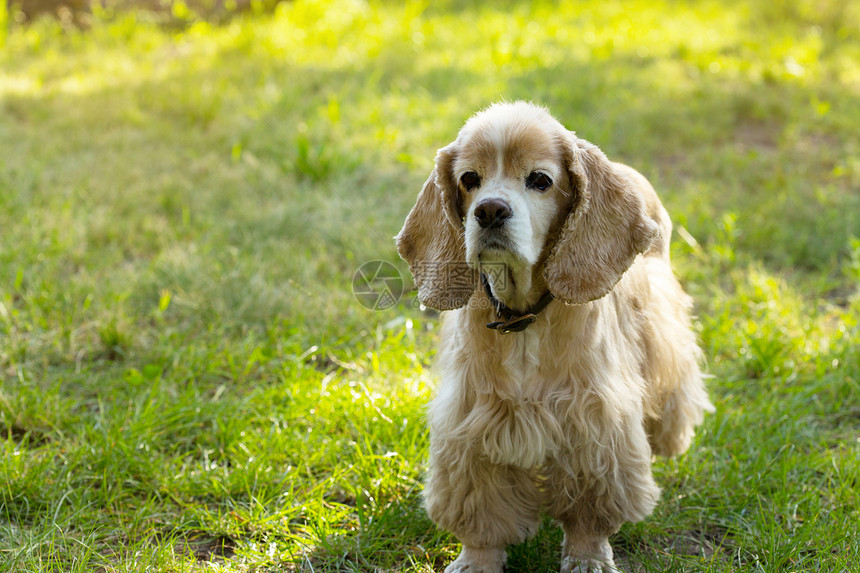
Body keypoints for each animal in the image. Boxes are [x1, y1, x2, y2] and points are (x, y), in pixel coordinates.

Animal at [396, 103, 712, 572]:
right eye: (469, 179)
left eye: (540, 180)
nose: (489, 211)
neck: (523, 318)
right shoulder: (471, 424)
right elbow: (482, 514)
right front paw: (477, 560)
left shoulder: (594, 423)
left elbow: (589, 512)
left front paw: (587, 557)